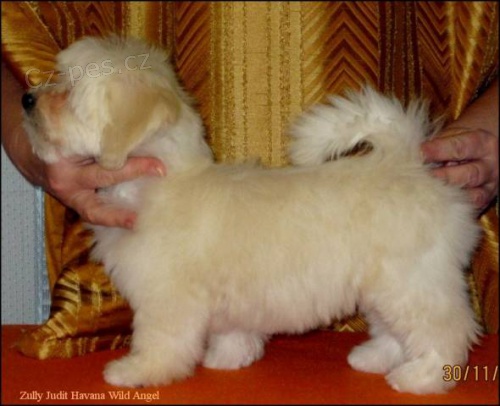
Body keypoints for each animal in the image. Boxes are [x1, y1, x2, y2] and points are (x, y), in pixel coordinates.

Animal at [22, 35, 481, 394]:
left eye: (68, 92)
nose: (27, 98)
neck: (157, 184)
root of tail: (405, 162)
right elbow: (232, 329)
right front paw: (229, 356)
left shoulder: (165, 297)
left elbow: (160, 339)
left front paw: (138, 370)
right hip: (384, 286)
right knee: (394, 330)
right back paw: (374, 358)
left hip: (411, 281)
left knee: (443, 330)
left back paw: (423, 377)